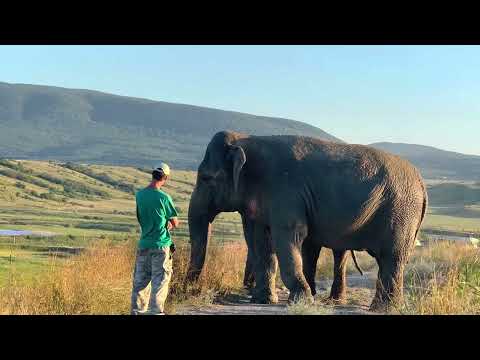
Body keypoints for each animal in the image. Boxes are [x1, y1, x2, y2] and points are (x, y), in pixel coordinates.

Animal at [188, 131, 428, 310]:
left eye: (206, 178)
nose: (192, 291)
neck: (246, 140)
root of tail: (421, 182)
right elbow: (261, 240)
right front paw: (263, 300)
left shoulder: (286, 191)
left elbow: (290, 235)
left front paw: (300, 301)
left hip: (401, 211)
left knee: (392, 256)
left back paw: (382, 309)